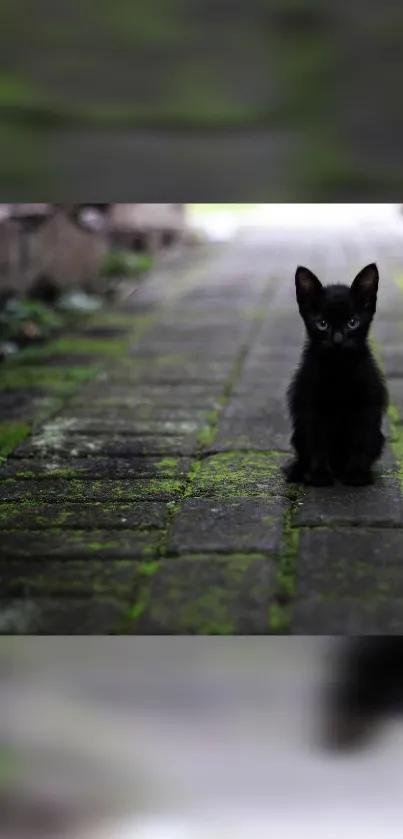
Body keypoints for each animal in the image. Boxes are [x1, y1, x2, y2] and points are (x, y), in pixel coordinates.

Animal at [284, 262, 388, 486]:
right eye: (322, 324)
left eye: (352, 322)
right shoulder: (310, 407)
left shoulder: (367, 405)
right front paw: (320, 475)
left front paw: (356, 474)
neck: (339, 368)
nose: (338, 340)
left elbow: (361, 441)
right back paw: (299, 471)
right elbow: (316, 443)